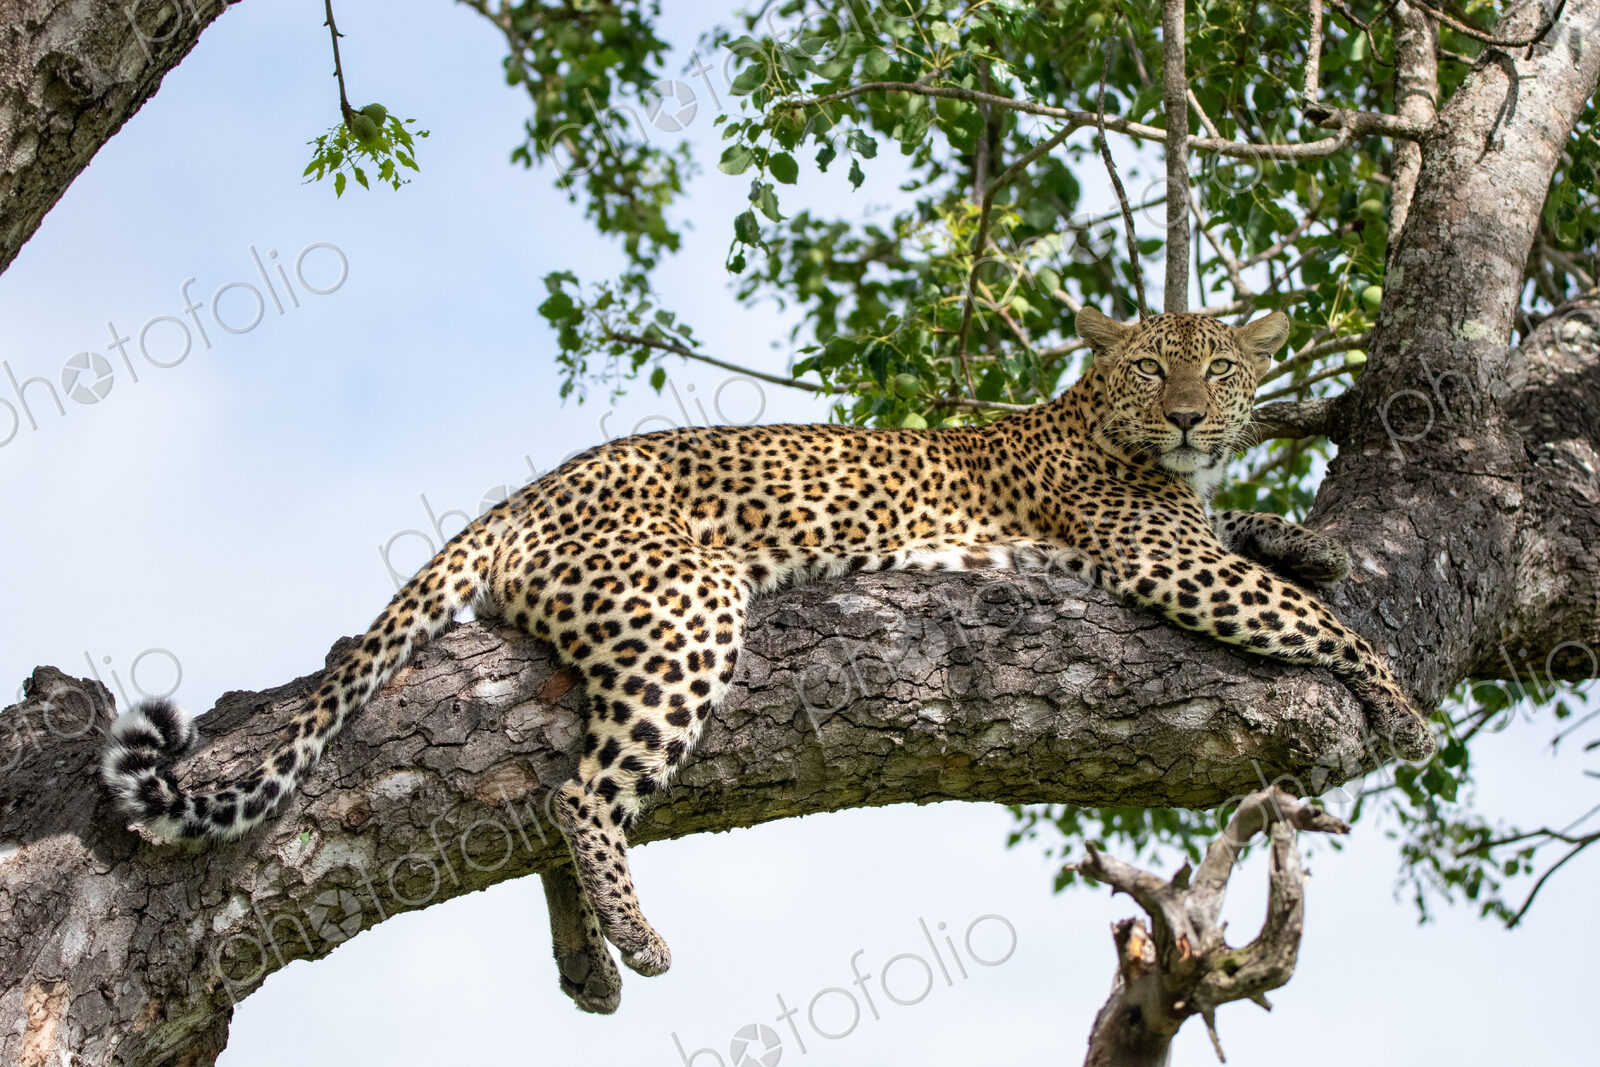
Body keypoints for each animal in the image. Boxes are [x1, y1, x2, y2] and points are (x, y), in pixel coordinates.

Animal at [101, 308, 1431, 1014]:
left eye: (1224, 365)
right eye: (1154, 366)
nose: (1193, 416)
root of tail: (519, 498)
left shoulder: (1192, 535)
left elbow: (1263, 541)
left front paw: (1307, 536)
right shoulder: (1161, 558)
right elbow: (1311, 619)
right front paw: (1407, 712)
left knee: (546, 787)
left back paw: (588, 962)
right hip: (688, 611)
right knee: (582, 794)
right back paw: (634, 938)